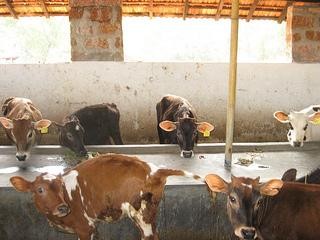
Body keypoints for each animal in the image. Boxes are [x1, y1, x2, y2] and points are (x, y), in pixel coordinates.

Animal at [10, 154, 200, 240]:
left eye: (61, 187)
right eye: (39, 190)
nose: (63, 207)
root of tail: (153, 169)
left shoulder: (84, 228)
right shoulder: (93, 227)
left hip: (142, 213)